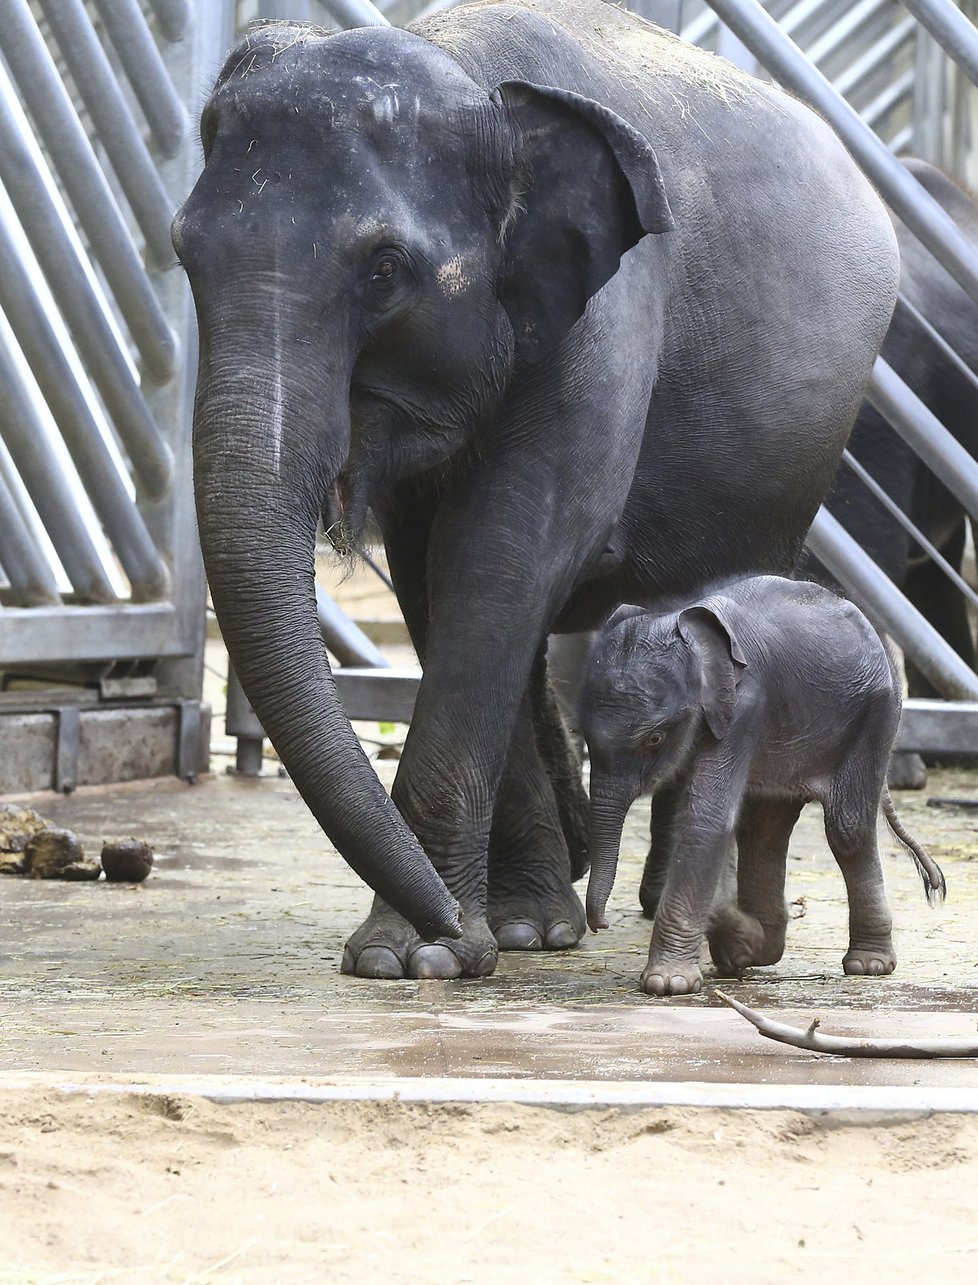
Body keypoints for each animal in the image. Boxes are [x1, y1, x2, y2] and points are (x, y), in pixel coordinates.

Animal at [172, 0, 894, 976]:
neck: (471, 72)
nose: (452, 924)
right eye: (183, 254)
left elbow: (504, 552)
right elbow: (440, 574)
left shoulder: (610, 314)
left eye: (385, 268)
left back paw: (660, 900)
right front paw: (513, 931)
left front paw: (416, 955)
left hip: (797, 460)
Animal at [575, 578, 940, 997]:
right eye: (583, 735)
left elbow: (706, 819)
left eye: (654, 738)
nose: (600, 924)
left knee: (847, 828)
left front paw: (668, 983)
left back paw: (869, 965)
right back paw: (751, 951)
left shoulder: (744, 708)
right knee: (764, 830)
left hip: (875, 714)